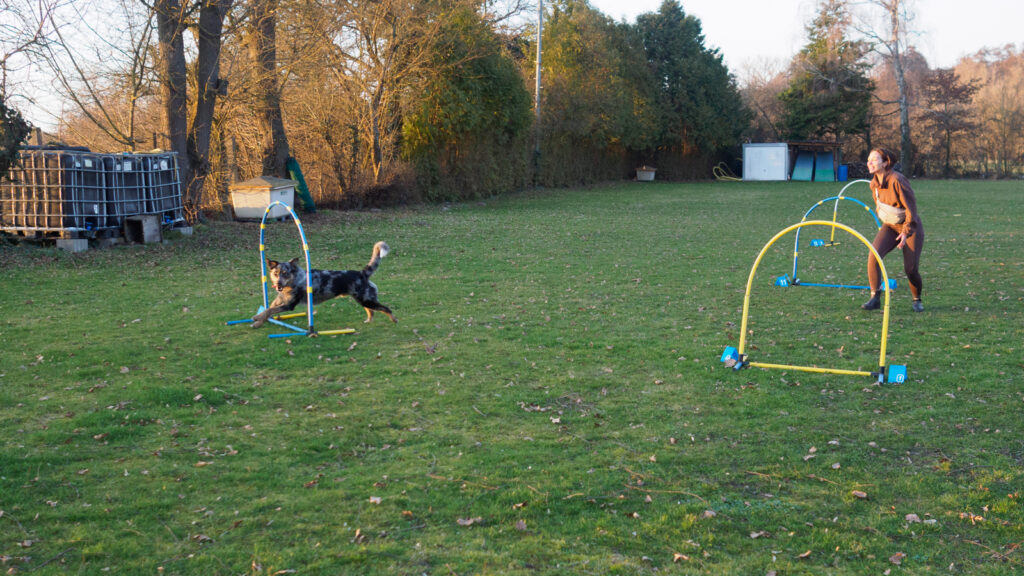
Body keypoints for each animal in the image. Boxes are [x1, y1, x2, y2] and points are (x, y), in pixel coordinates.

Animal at [251, 241, 396, 328]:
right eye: (276, 273)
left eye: (286, 273)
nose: (278, 283)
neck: (293, 282)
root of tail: (361, 273)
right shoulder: (280, 301)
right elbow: (268, 310)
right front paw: (258, 322)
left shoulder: (289, 305)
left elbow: (269, 310)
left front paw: (256, 318)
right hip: (362, 300)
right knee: (371, 311)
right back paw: (368, 321)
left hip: (366, 299)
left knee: (386, 308)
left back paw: (394, 320)